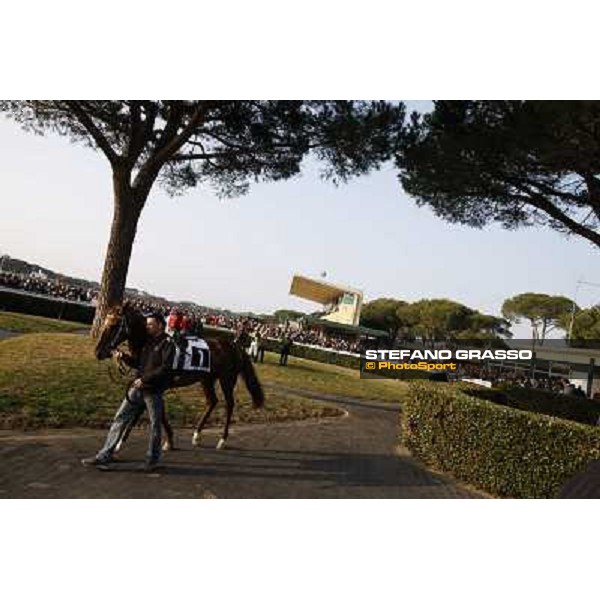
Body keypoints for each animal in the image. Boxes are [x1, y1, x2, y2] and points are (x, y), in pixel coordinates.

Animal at [94, 304, 264, 450]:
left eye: (114, 325)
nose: (98, 351)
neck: (151, 344)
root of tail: (235, 346)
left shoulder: (154, 384)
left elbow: (147, 411)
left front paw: (120, 443)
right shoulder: (150, 384)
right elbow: (159, 412)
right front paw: (169, 440)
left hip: (226, 380)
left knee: (229, 404)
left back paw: (222, 439)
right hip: (206, 379)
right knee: (212, 401)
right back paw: (196, 435)